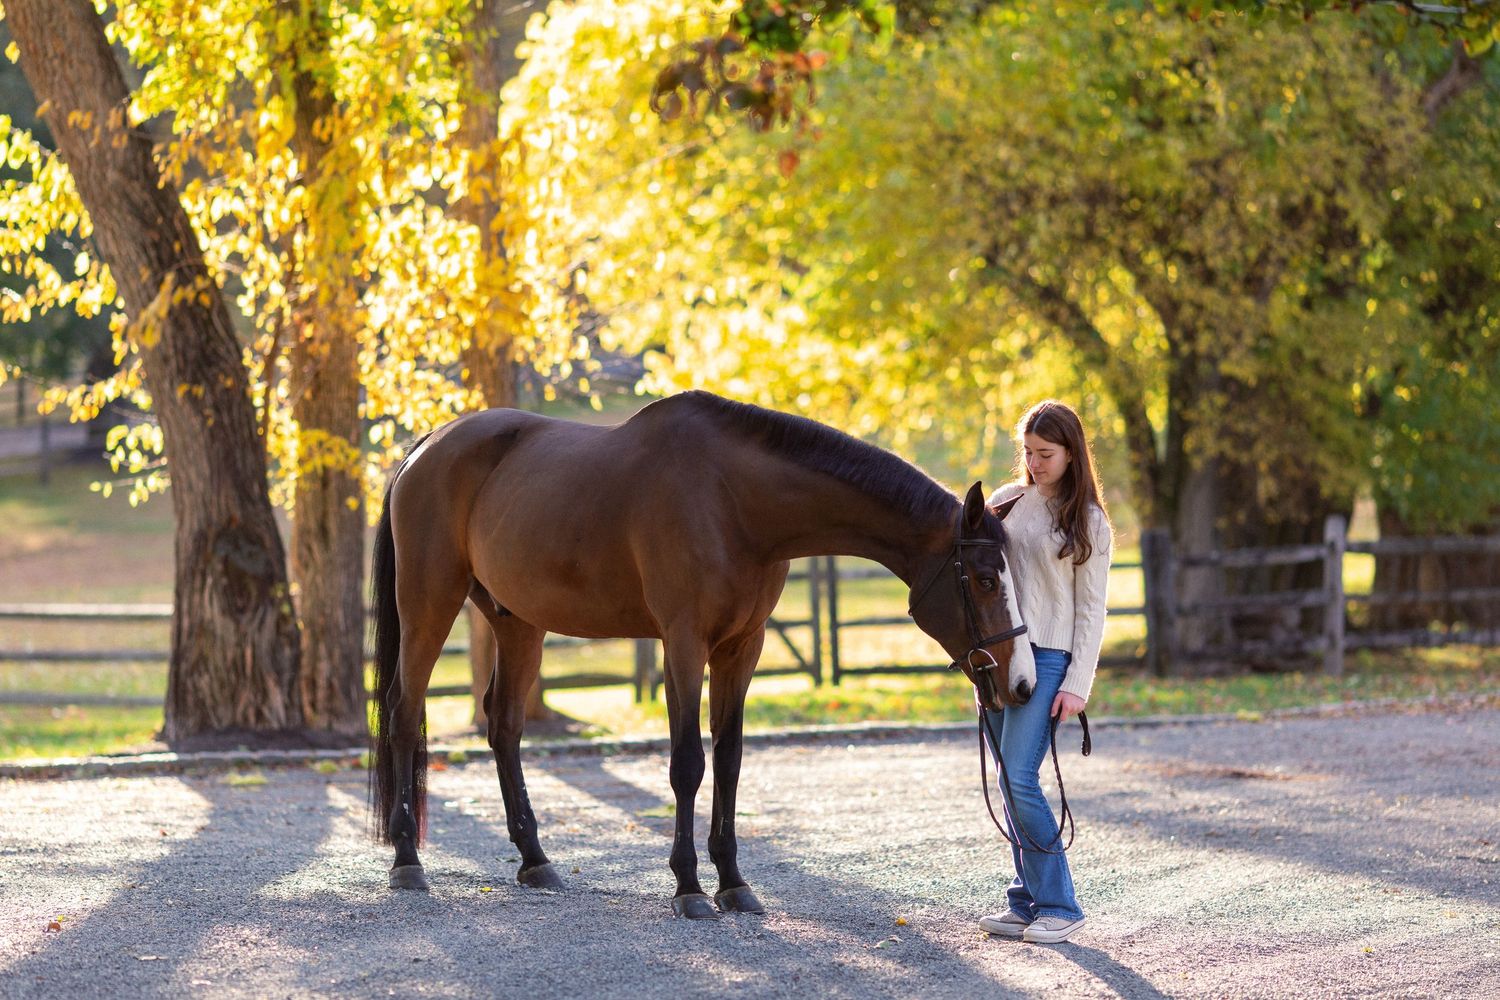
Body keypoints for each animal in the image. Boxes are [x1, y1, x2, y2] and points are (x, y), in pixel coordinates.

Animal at [369, 390, 1036, 918]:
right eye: (983, 578)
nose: (1021, 684)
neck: (733, 499)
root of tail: (428, 447)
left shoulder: (743, 648)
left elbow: (730, 761)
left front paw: (733, 883)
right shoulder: (684, 643)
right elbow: (688, 761)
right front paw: (689, 886)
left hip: (518, 623)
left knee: (504, 726)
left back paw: (535, 860)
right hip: (429, 602)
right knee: (404, 711)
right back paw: (407, 861)